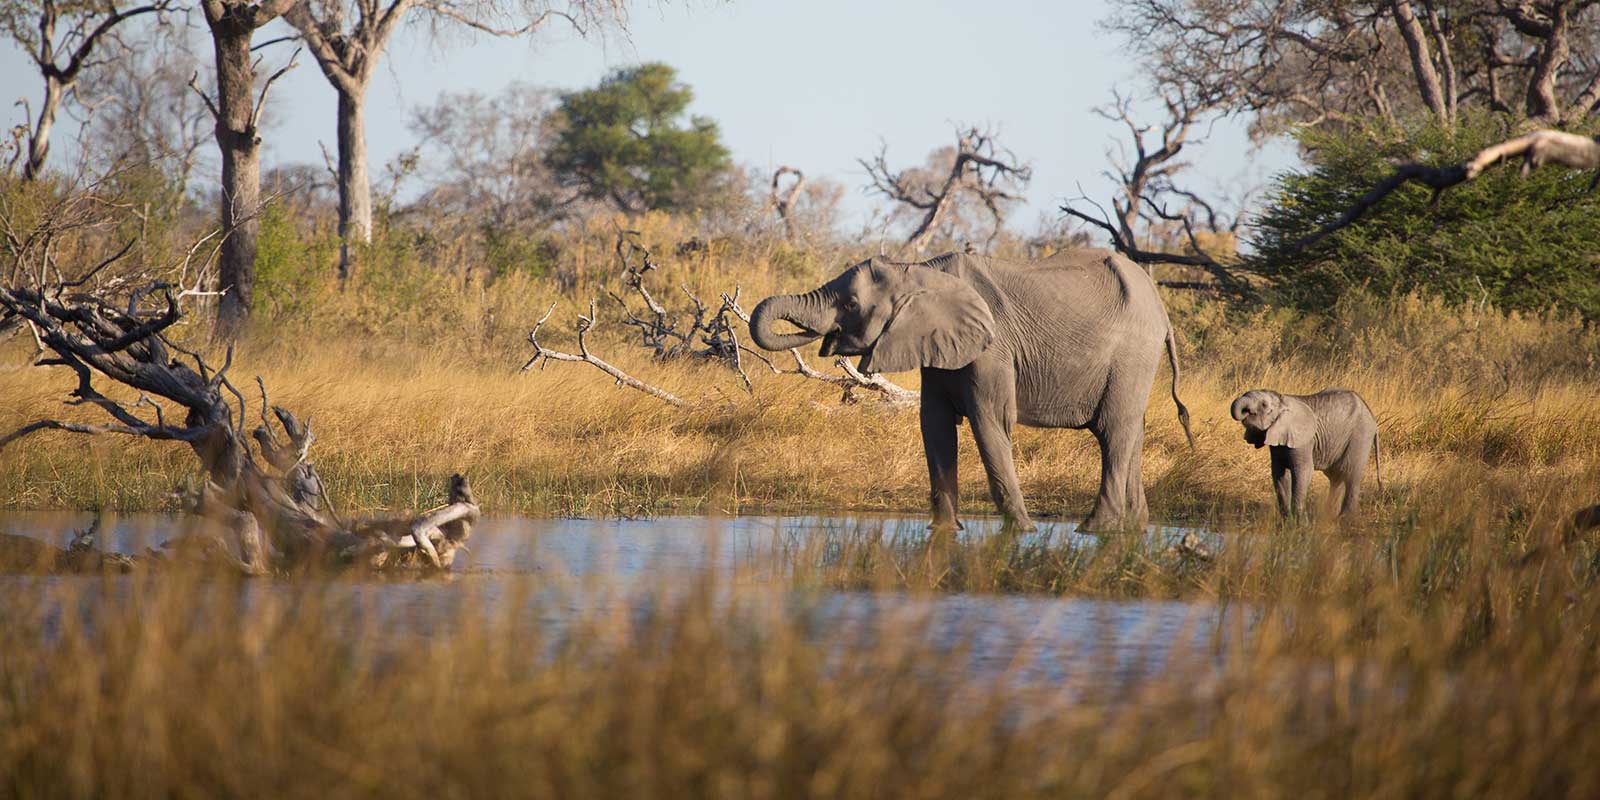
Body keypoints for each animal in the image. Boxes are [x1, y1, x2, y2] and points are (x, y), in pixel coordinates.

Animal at [748, 249, 1194, 532]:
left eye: (852, 304)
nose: (824, 342)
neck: (919, 269)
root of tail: (1161, 309)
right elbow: (935, 426)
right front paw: (945, 530)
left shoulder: (992, 348)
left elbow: (990, 422)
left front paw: (1022, 531)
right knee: (1130, 432)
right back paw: (1132, 528)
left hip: (1133, 353)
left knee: (1114, 431)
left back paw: (1093, 529)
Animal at [1229, 388, 1382, 520]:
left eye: (1264, 405)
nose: (1246, 411)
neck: (1283, 400)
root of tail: (1372, 416)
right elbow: (1279, 474)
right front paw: (1286, 521)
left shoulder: (1304, 441)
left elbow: (1303, 471)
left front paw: (1301, 523)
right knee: (1336, 477)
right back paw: (1329, 516)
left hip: (1360, 435)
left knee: (1350, 474)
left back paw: (1345, 519)